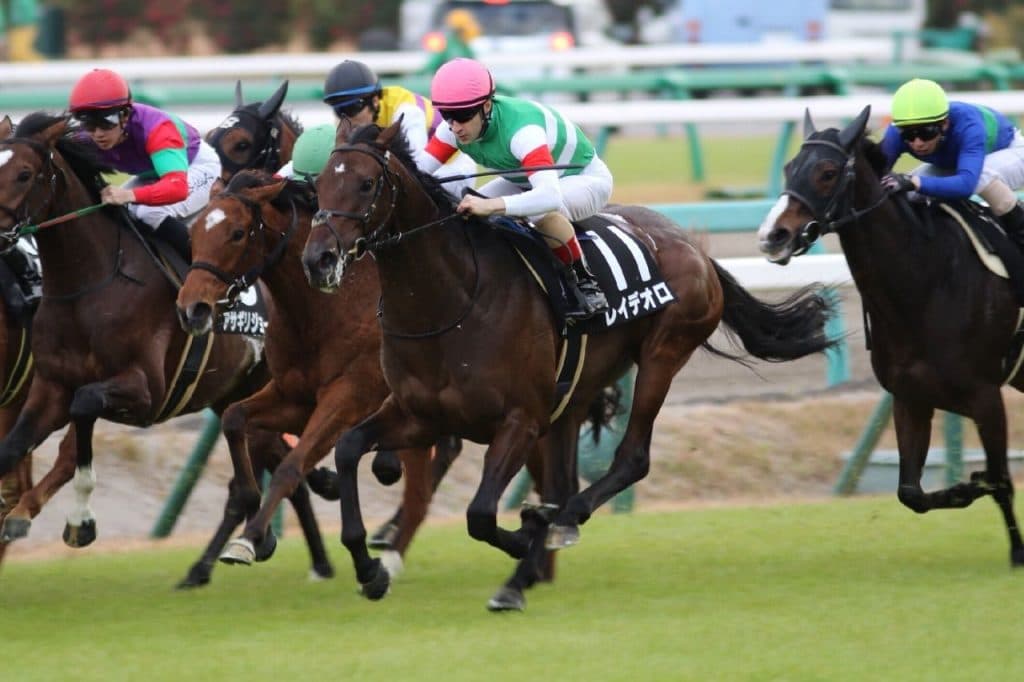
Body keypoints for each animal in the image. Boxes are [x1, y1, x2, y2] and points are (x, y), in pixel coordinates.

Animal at [0, 112, 337, 587]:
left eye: (25, 173)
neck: (90, 284)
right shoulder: (49, 387)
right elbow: (15, 448)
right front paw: (23, 513)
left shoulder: (144, 391)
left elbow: (82, 413)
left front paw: (81, 521)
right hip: (234, 395)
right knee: (276, 458)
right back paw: (290, 554)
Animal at [176, 169, 456, 577]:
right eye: (194, 232)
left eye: (238, 233)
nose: (191, 308)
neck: (324, 307)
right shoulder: (294, 397)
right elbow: (234, 418)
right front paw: (255, 517)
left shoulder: (349, 397)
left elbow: (291, 465)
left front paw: (250, 539)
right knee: (419, 498)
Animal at [301, 121, 837, 603]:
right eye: (319, 183)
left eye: (366, 183)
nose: (318, 259)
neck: (451, 302)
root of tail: (694, 248)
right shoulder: (422, 414)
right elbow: (348, 448)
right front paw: (370, 568)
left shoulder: (520, 419)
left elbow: (481, 513)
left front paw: (525, 532)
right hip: (574, 395)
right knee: (563, 479)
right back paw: (522, 574)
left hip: (662, 355)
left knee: (628, 459)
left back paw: (556, 527)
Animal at [757, 105, 1024, 567]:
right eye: (790, 167)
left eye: (828, 172)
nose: (774, 236)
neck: (927, 280)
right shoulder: (910, 398)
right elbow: (910, 492)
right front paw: (963, 486)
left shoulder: (986, 396)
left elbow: (1001, 479)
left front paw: (1017, 552)